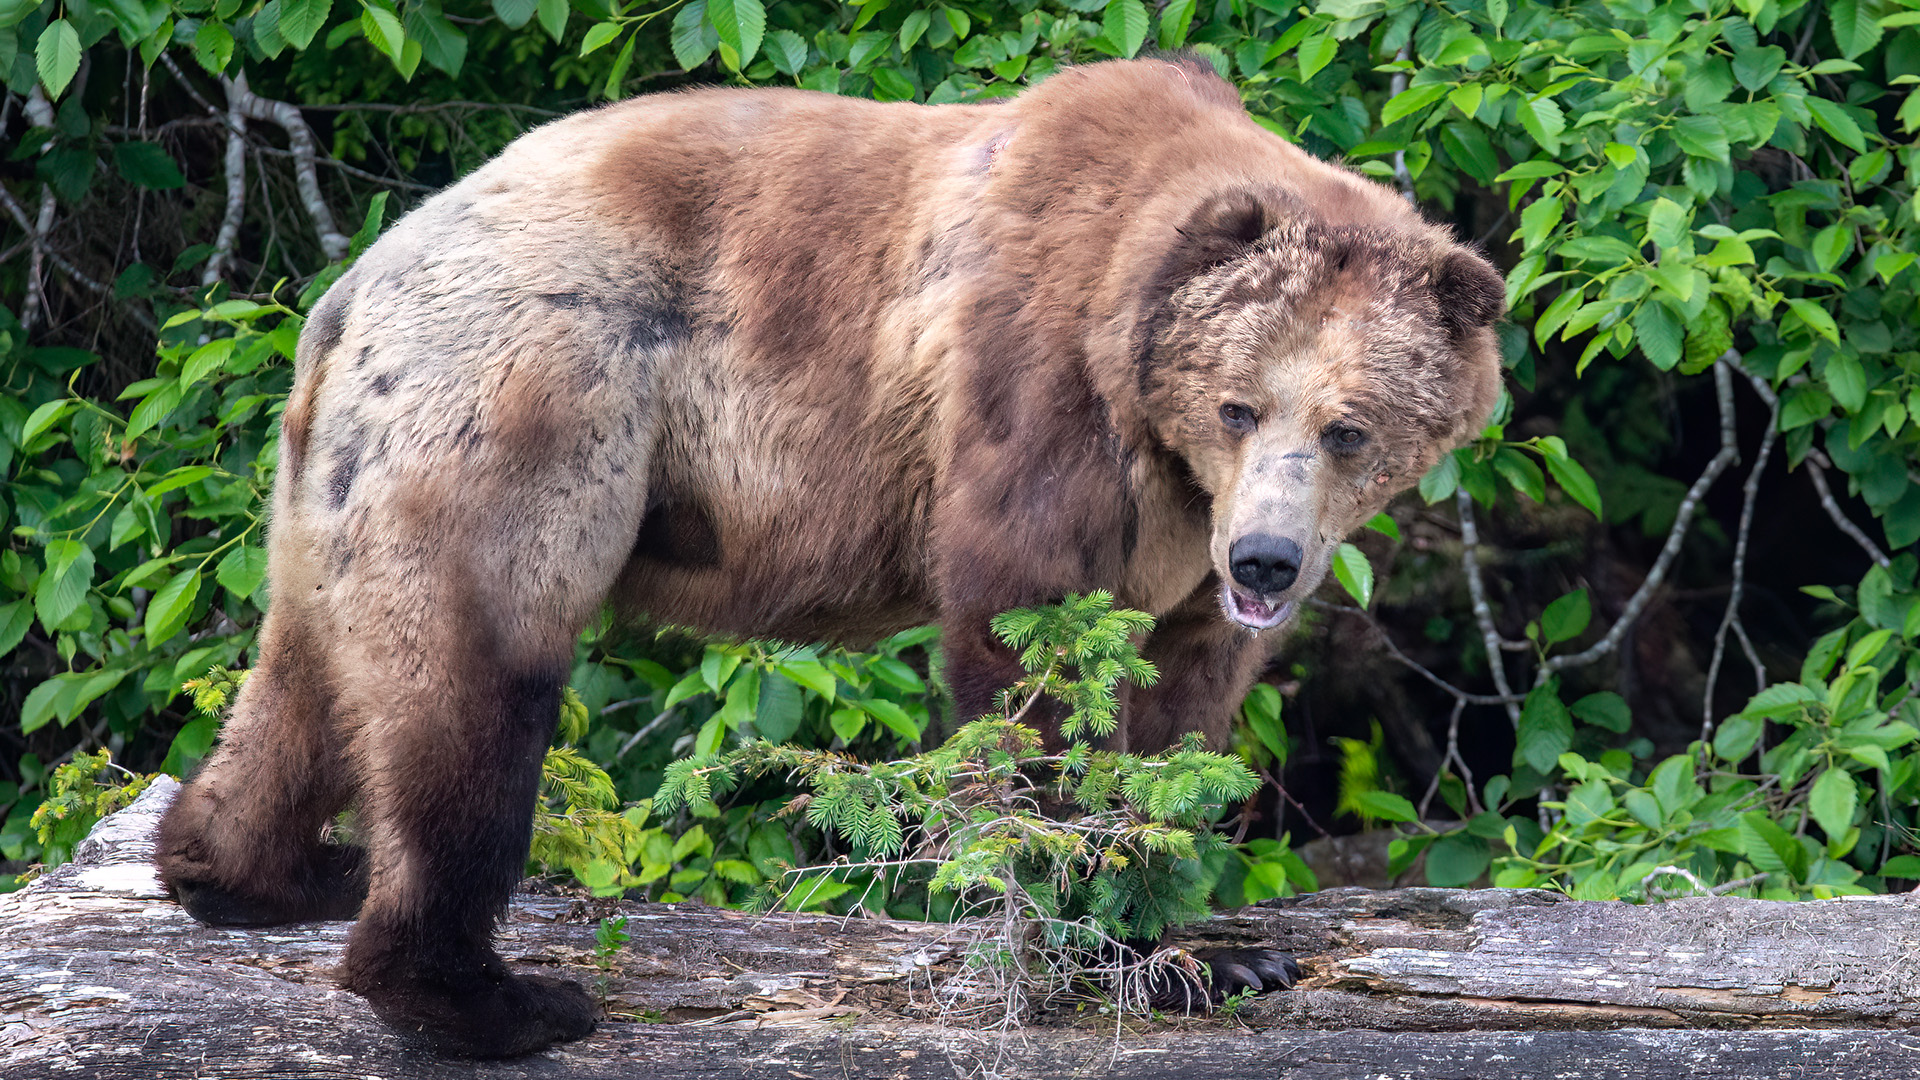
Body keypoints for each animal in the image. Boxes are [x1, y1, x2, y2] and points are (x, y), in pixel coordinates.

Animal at [153, 56, 1505, 1057]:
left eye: (1350, 427)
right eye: (1239, 405)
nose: (1270, 561)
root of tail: (354, 285)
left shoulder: (1186, 544)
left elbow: (1177, 702)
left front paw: (1214, 938)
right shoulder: (1033, 393)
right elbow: (1029, 644)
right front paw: (1105, 935)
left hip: (341, 474)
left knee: (313, 669)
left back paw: (265, 868)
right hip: (532, 403)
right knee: (479, 681)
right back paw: (497, 997)